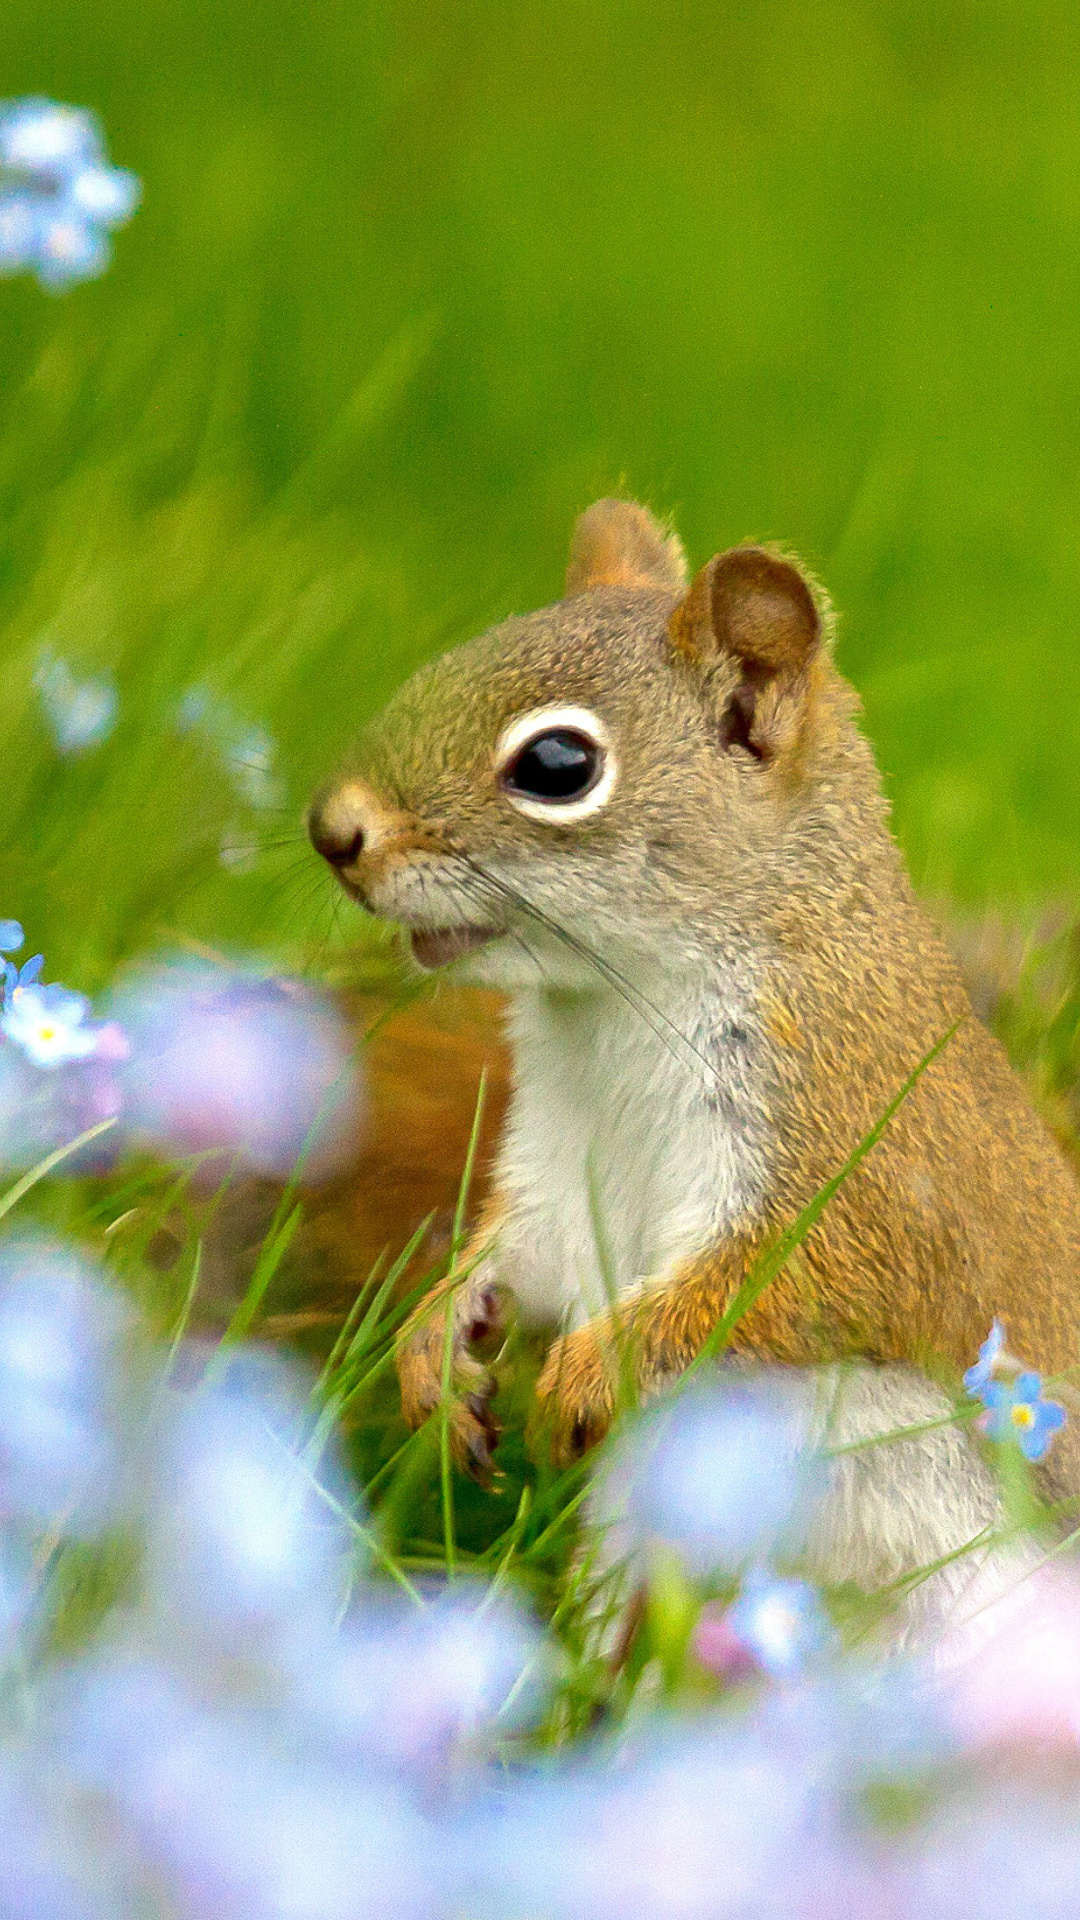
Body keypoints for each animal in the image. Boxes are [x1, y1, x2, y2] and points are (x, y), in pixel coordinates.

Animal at [305, 499, 1076, 1589]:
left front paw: (588, 1374)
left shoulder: (860, 1156)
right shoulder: (558, 1161)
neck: (612, 1011)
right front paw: (436, 1344)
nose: (332, 831)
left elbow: (783, 1283)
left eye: (557, 766)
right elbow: (524, 1248)